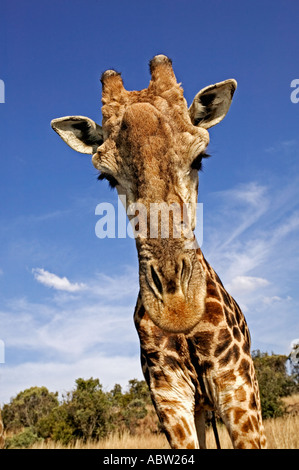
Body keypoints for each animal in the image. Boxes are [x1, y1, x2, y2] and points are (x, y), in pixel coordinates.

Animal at [51, 54, 268, 448]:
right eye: (107, 178)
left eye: (200, 158)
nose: (176, 307)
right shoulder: (169, 397)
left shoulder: (238, 387)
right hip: (200, 410)